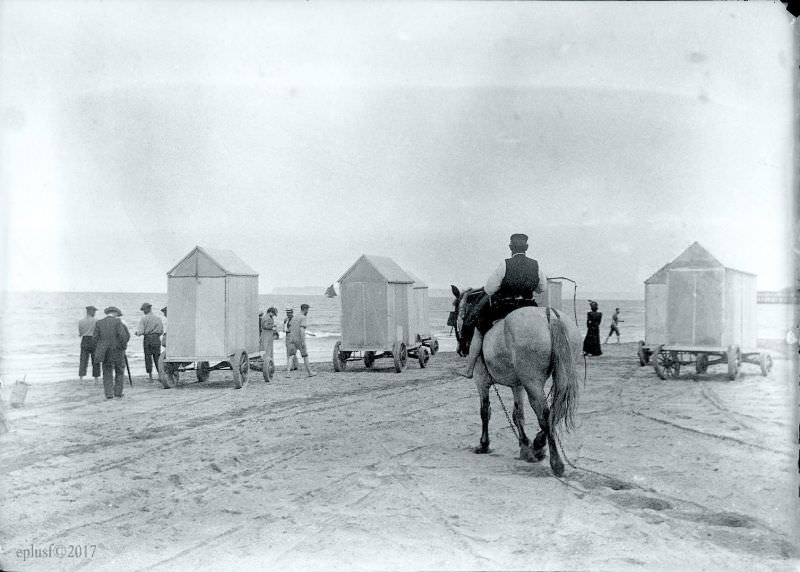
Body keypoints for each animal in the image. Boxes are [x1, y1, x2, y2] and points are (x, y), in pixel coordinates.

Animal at [450, 286, 580, 478]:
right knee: (556, 411)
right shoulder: (517, 386)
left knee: (545, 414)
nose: (461, 349)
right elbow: (517, 414)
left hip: (533, 383)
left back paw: (555, 462)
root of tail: (550, 317)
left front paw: (484, 444)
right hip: (558, 376)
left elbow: (485, 411)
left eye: (455, 311)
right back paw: (538, 444)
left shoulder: (481, 381)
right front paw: (525, 445)